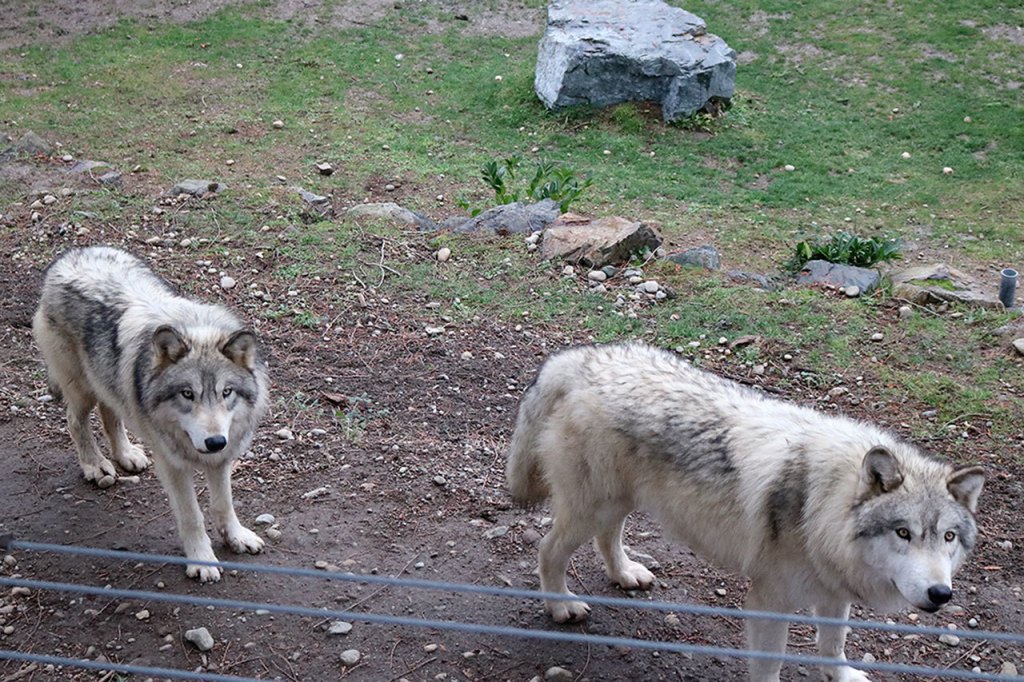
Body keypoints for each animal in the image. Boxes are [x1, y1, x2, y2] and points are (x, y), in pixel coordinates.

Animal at [33, 246, 270, 582]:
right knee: (75, 422)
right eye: (187, 394)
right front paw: (202, 560)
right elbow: (192, 516)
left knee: (111, 415)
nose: (214, 442)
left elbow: (224, 504)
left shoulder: (221, 459)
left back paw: (127, 455)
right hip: (82, 389)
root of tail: (70, 253)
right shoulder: (173, 466)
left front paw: (236, 537)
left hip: (109, 383)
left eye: (226, 392)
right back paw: (95, 465)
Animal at [506, 342, 984, 682]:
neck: (820, 504)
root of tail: (582, 358)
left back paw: (624, 574)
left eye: (948, 537)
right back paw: (561, 607)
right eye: (903, 533)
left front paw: (842, 674)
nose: (941, 594)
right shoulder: (769, 602)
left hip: (618, 503)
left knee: (609, 539)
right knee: (549, 552)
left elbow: (833, 644)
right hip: (593, 508)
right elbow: (771, 665)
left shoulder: (834, 592)